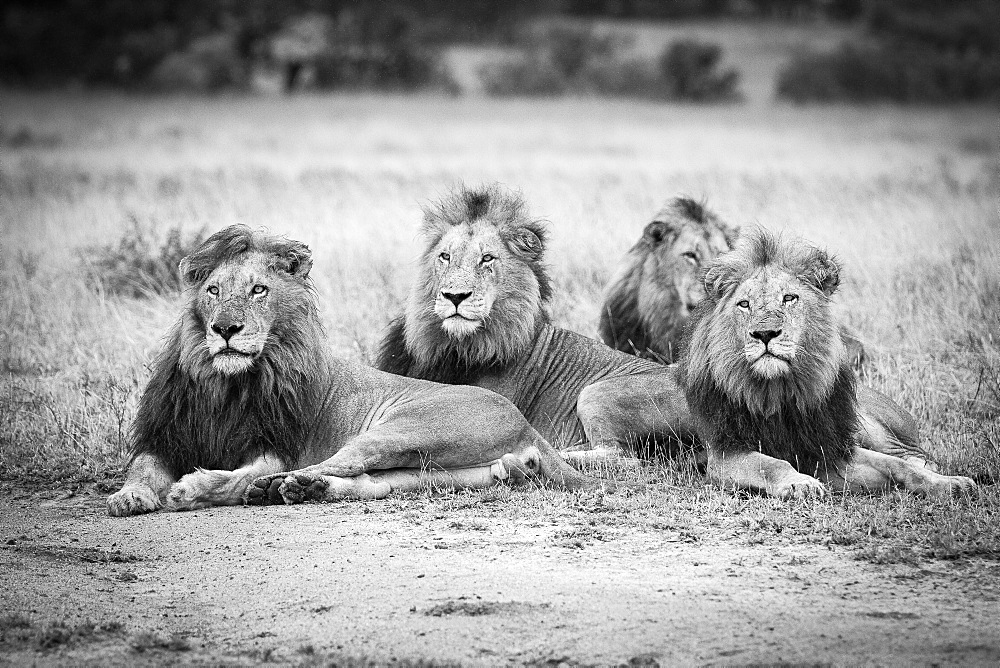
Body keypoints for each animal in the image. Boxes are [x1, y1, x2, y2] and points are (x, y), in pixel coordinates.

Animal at [107, 224, 600, 516]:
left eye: (259, 290)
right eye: (212, 290)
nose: (225, 328)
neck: (226, 384)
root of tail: (523, 422)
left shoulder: (276, 444)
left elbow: (246, 469)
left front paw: (190, 488)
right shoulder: (164, 435)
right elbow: (143, 469)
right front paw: (128, 496)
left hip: (404, 429)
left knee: (334, 463)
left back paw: (268, 488)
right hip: (439, 469)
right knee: (370, 483)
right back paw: (304, 490)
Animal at [680, 227, 976, 498]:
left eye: (789, 298)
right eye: (744, 304)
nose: (765, 334)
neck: (779, 391)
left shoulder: (830, 449)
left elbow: (897, 466)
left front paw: (949, 484)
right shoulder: (725, 454)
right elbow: (772, 464)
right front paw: (800, 483)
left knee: (911, 456)